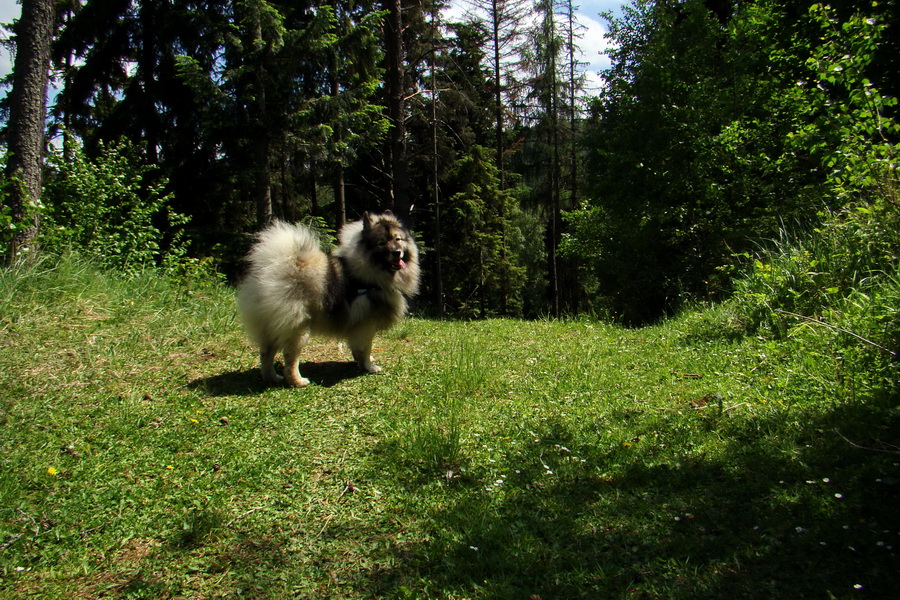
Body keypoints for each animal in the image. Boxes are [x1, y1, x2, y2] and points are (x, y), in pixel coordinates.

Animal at [239, 213, 422, 386]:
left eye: (397, 239)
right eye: (381, 243)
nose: (397, 252)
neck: (368, 272)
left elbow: (358, 349)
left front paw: (362, 361)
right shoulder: (366, 325)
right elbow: (366, 348)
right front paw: (369, 367)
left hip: (273, 327)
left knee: (266, 353)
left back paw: (272, 377)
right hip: (298, 327)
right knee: (290, 357)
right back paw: (298, 381)